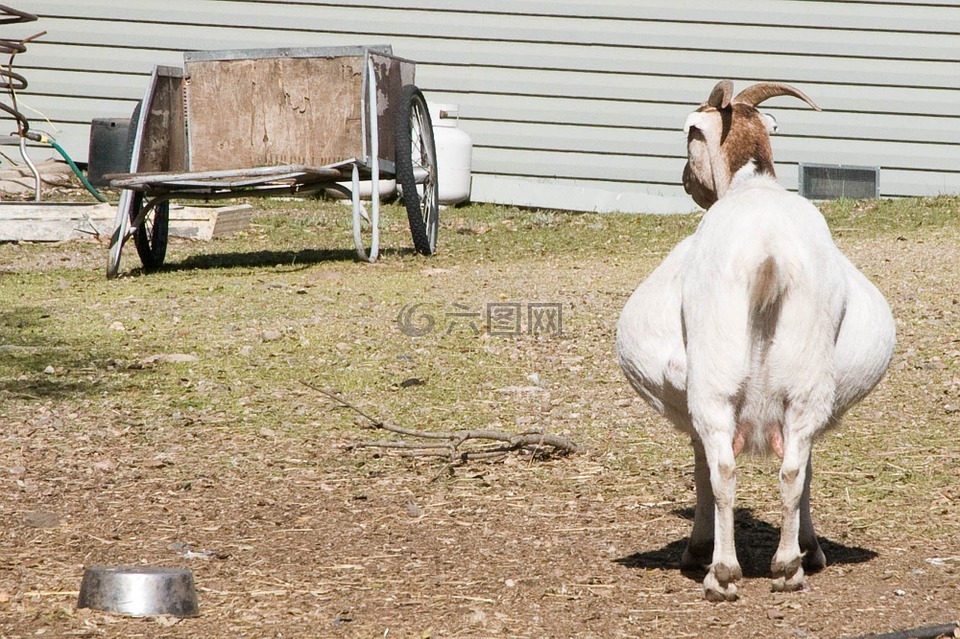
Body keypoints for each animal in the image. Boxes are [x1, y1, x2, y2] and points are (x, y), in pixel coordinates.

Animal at [620, 80, 896, 600]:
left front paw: (697, 549)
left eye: (689, 137)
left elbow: (703, 467)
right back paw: (788, 567)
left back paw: (722, 575)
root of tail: (768, 256)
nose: (686, 182)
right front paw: (811, 549)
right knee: (791, 469)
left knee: (724, 470)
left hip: (714, 380)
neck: (754, 185)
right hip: (806, 381)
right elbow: (805, 467)